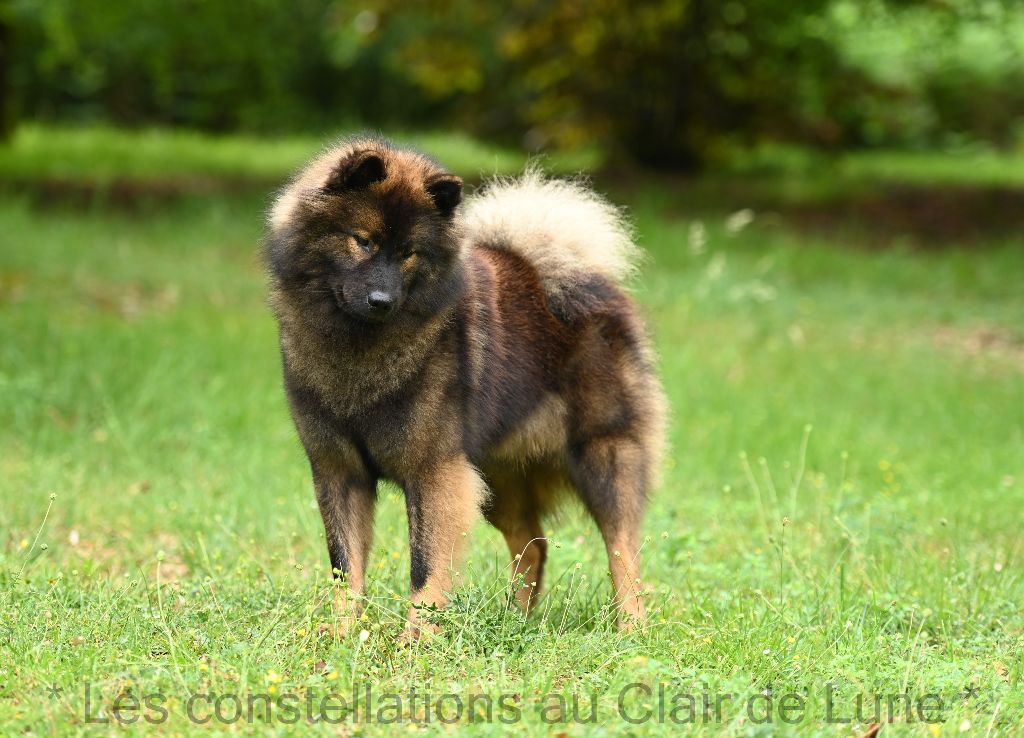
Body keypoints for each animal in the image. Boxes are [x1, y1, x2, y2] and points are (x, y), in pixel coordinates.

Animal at [264, 139, 663, 638]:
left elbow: (426, 566)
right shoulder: (339, 471)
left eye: (409, 253)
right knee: (533, 544)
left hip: (604, 456)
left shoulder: (436, 474)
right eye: (364, 240)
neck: (359, 349)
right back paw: (514, 621)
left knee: (623, 551)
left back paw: (630, 628)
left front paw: (414, 639)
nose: (382, 301)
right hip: (496, 478)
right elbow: (345, 565)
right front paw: (341, 634)